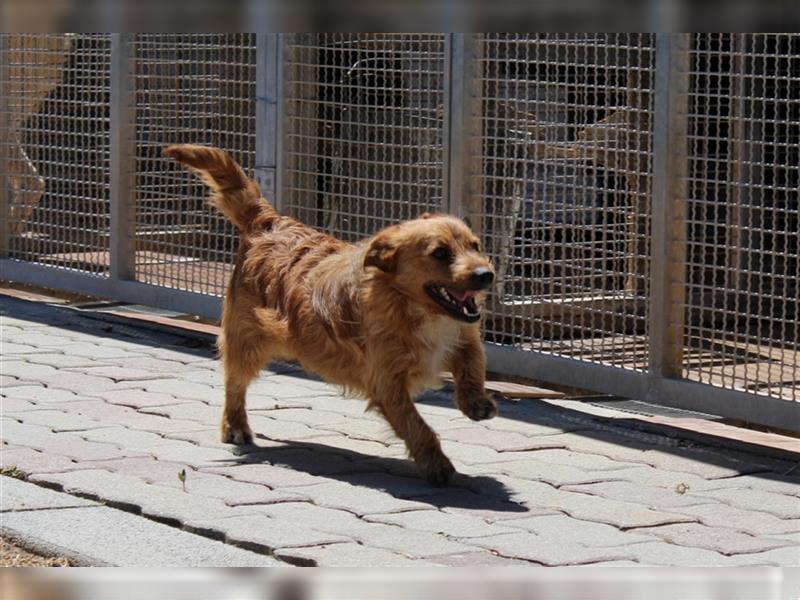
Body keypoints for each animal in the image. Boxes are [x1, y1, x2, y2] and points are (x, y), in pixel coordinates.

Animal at [166, 144, 496, 482]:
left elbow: (472, 363)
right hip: (246, 340)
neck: (416, 308)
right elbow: (415, 425)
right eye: (440, 253)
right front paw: (436, 464)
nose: (486, 275)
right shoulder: (387, 382)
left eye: (475, 245)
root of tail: (271, 224)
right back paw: (235, 425)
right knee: (234, 383)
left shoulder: (463, 337)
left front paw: (475, 400)